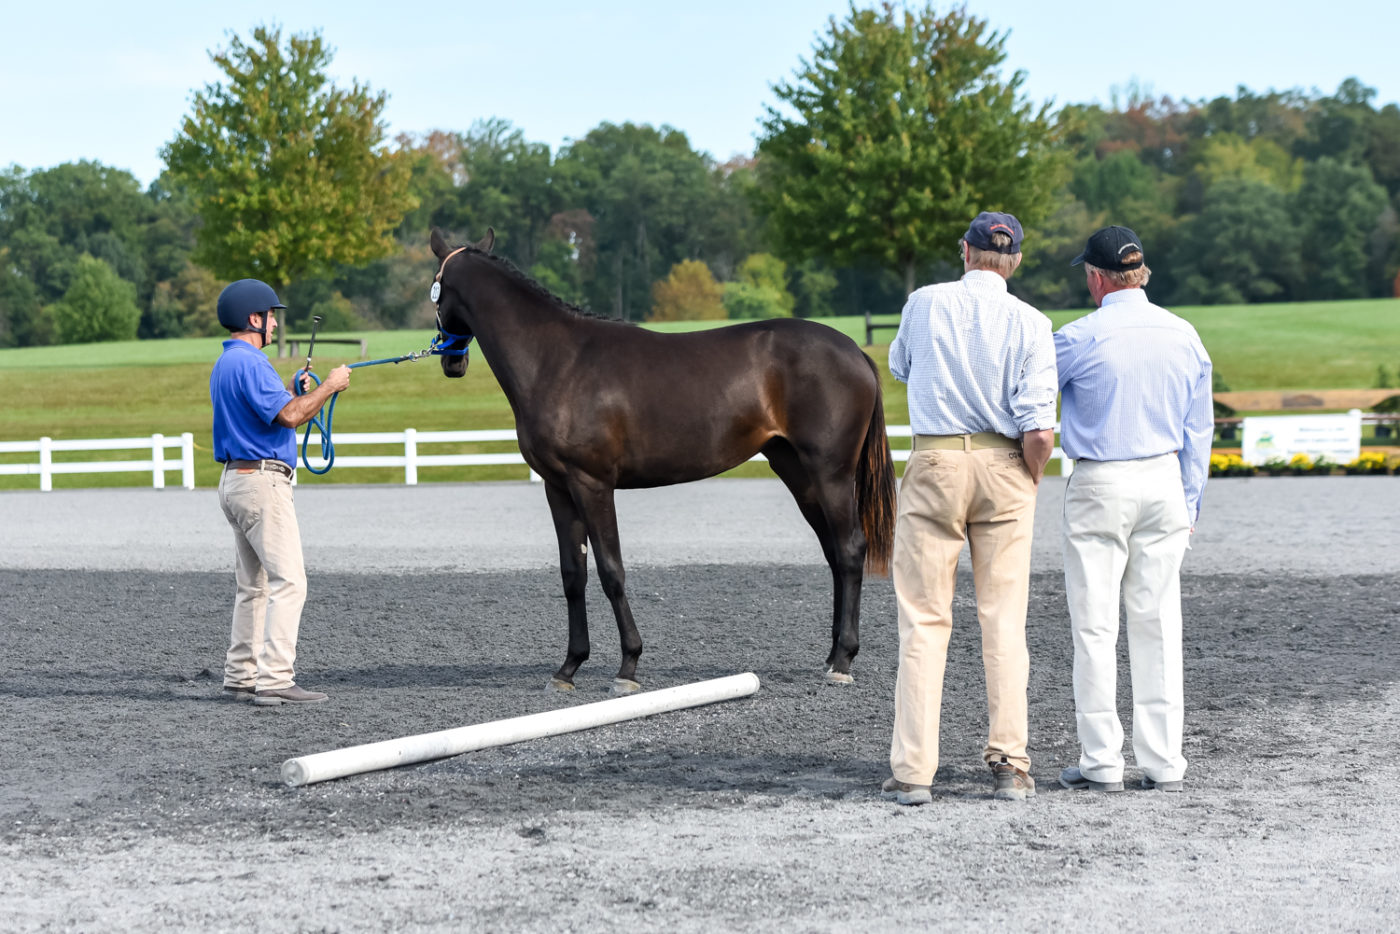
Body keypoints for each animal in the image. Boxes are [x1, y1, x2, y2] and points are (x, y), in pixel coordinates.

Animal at [428, 228, 896, 694]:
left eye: (436, 289)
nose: (452, 362)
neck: (557, 360)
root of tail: (855, 351)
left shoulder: (592, 483)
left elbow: (611, 570)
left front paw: (628, 666)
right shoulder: (558, 487)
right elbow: (572, 574)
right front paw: (568, 668)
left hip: (831, 473)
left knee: (850, 550)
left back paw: (843, 661)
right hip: (799, 474)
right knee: (834, 553)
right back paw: (832, 655)